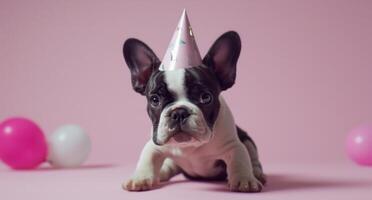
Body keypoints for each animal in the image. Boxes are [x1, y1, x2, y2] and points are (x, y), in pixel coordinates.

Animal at [121, 31, 264, 192]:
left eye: (206, 97)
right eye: (155, 99)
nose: (179, 113)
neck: (190, 147)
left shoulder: (232, 144)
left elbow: (240, 158)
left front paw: (244, 180)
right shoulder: (155, 143)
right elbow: (147, 157)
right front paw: (140, 178)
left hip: (247, 138)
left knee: (253, 157)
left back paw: (257, 173)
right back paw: (162, 172)